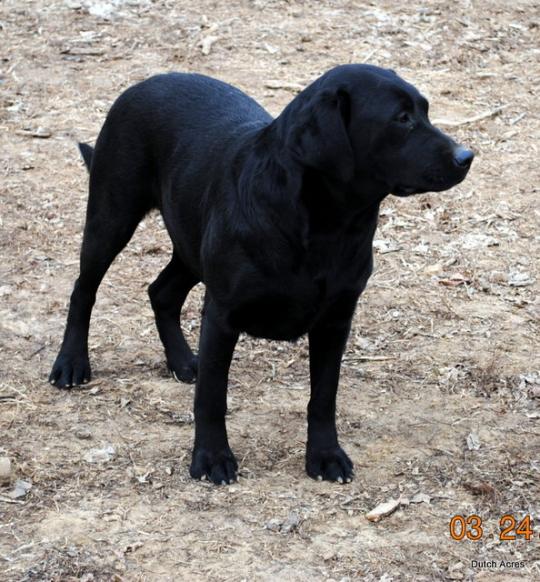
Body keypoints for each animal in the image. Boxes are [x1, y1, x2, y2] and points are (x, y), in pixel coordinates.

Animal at [49, 64, 472, 486]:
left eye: (425, 110)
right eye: (401, 119)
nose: (467, 156)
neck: (328, 225)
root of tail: (145, 82)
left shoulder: (336, 320)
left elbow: (323, 397)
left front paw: (325, 455)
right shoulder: (222, 316)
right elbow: (212, 398)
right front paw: (211, 458)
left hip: (189, 243)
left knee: (161, 292)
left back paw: (183, 361)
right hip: (112, 217)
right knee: (83, 290)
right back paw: (71, 363)